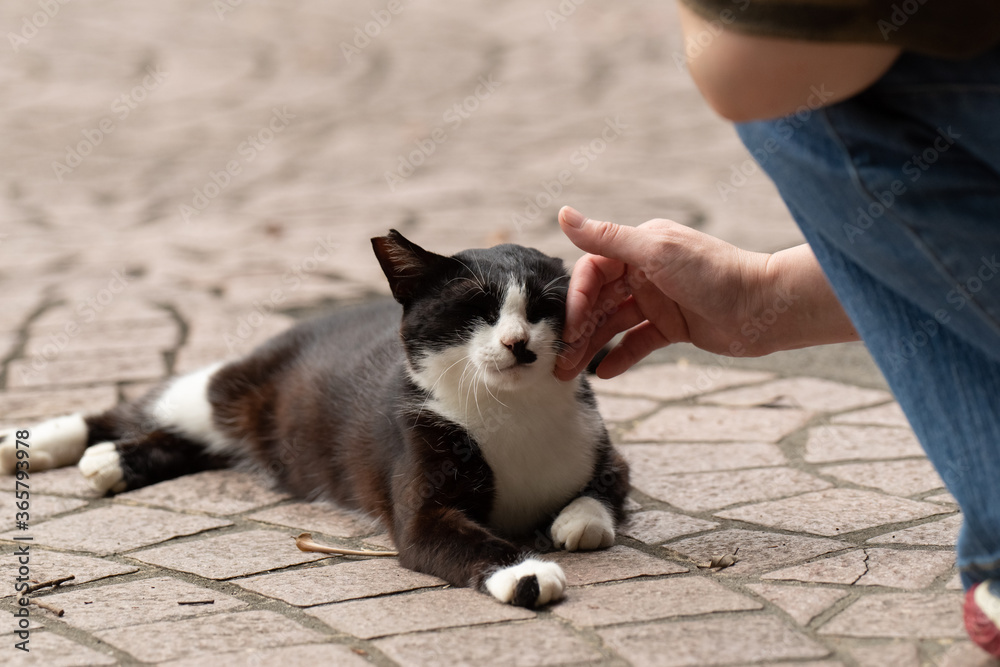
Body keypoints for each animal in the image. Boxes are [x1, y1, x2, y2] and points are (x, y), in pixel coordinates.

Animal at [0, 232, 624, 608]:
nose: (519, 343)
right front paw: (525, 573)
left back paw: (114, 462)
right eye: (477, 309)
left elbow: (608, 486)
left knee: (201, 443)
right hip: (232, 388)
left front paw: (580, 519)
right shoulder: (421, 495)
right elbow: (455, 537)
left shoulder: (599, 442)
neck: (509, 411)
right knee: (146, 407)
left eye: (544, 309)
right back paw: (34, 443)